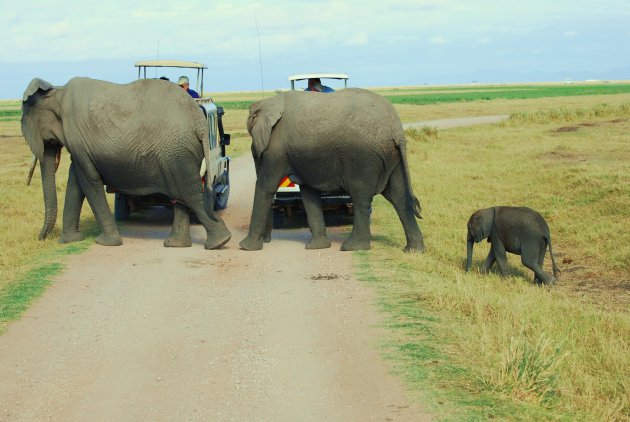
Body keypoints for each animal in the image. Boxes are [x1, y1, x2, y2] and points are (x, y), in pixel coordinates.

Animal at [22, 76, 236, 249]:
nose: (41, 238)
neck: (57, 91)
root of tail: (199, 121)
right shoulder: (80, 146)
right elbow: (76, 181)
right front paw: (69, 240)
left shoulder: (77, 138)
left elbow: (88, 182)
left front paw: (106, 243)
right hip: (178, 153)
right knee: (181, 196)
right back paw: (178, 245)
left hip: (176, 150)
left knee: (192, 195)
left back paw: (219, 242)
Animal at [239, 88, 428, 252]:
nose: (267, 240)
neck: (268, 102)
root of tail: (396, 130)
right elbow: (308, 193)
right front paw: (317, 247)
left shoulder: (276, 148)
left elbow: (266, 186)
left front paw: (245, 247)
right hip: (391, 155)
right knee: (398, 197)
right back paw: (414, 250)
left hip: (362, 157)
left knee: (360, 196)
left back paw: (352, 247)